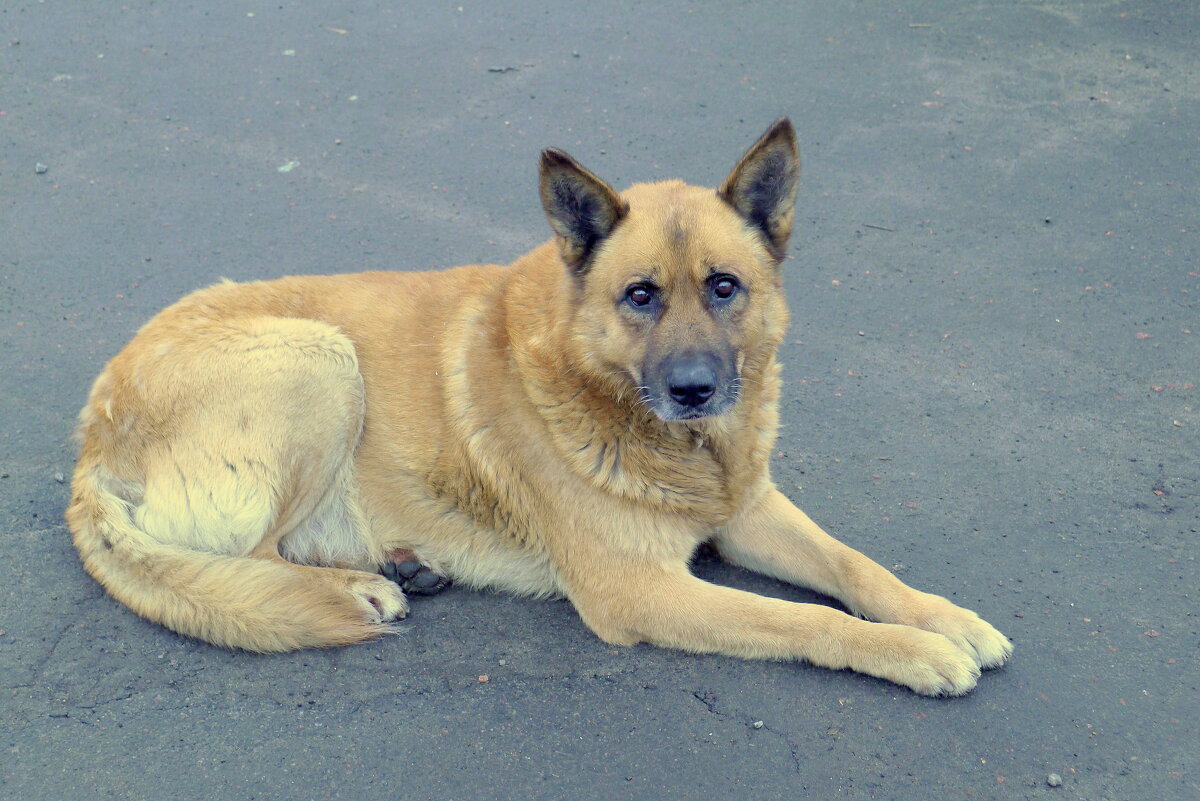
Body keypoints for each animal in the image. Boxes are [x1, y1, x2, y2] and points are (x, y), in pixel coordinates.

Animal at [68, 118, 1012, 695]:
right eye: (640, 295)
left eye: (724, 286)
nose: (695, 390)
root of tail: (89, 441)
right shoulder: (643, 591)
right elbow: (806, 616)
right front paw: (915, 651)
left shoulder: (747, 512)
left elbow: (857, 568)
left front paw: (946, 617)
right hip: (320, 360)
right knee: (255, 554)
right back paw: (361, 584)